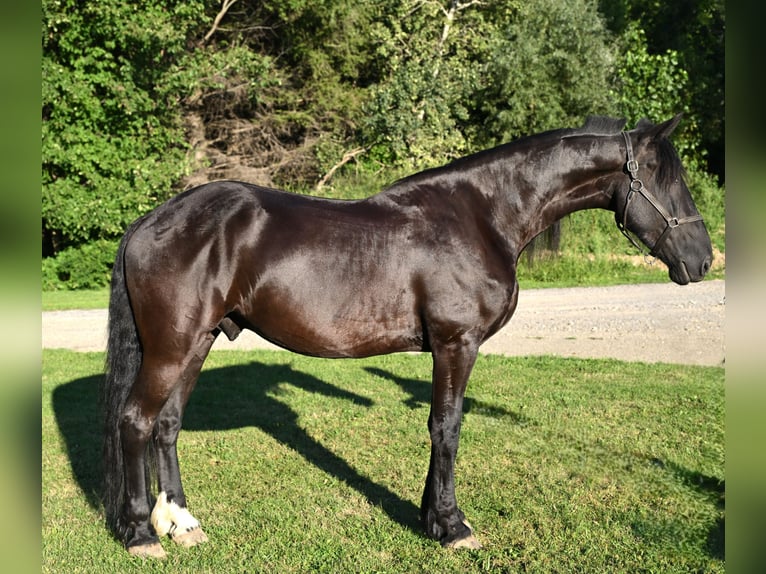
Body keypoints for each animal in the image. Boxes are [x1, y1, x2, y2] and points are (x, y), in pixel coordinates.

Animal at [101, 114, 712, 558]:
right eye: (664, 178)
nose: (703, 260)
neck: (481, 214)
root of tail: (151, 221)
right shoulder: (455, 343)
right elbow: (447, 427)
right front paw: (451, 525)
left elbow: (442, 426)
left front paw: (431, 515)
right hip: (171, 347)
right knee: (135, 421)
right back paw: (142, 535)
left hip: (199, 341)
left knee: (167, 425)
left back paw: (183, 523)